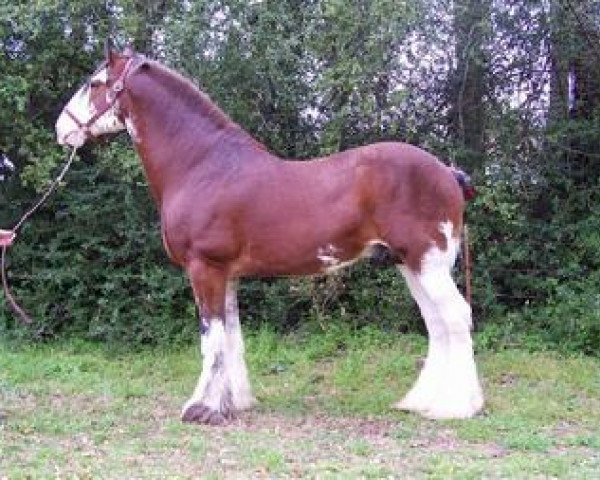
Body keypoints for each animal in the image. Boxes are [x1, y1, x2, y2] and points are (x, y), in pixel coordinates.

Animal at [56, 46, 486, 424]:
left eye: (95, 83)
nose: (60, 128)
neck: (202, 166)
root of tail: (448, 172)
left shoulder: (204, 268)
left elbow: (210, 339)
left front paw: (202, 408)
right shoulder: (225, 274)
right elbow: (231, 337)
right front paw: (232, 403)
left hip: (428, 263)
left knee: (454, 317)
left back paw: (458, 407)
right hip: (410, 265)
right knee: (436, 324)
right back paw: (423, 401)